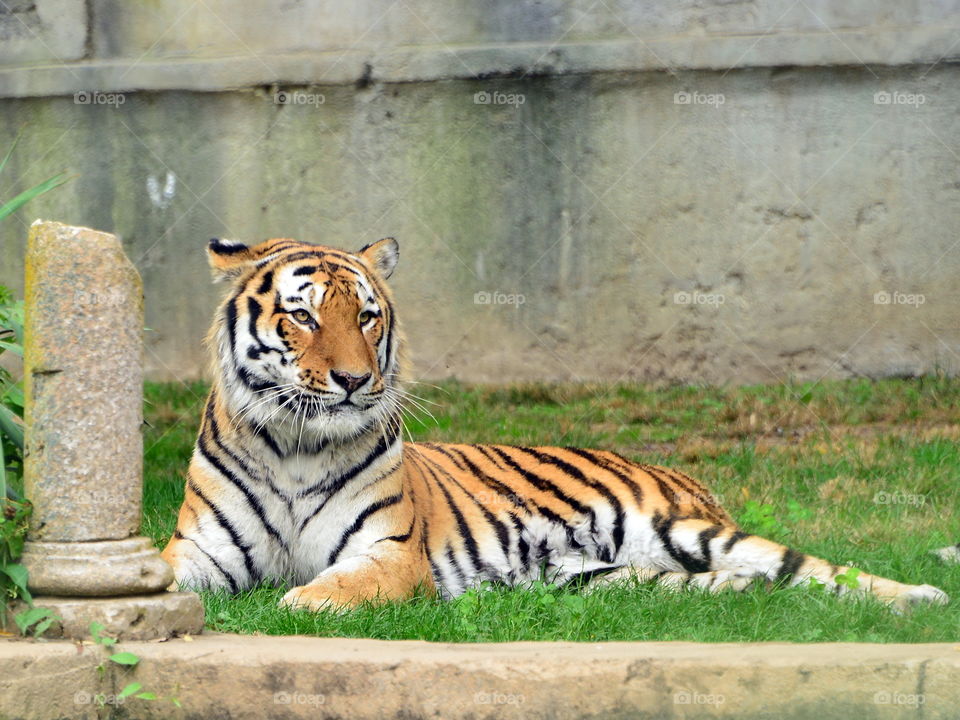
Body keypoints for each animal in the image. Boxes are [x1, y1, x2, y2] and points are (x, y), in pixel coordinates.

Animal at [161, 239, 948, 612]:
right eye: (301, 315)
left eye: (367, 316)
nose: (356, 381)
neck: (295, 445)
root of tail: (674, 469)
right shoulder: (197, 550)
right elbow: (163, 576)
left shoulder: (388, 553)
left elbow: (338, 587)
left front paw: (300, 600)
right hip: (601, 578)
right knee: (735, 585)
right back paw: (739, 595)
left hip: (686, 531)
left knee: (813, 570)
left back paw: (922, 600)